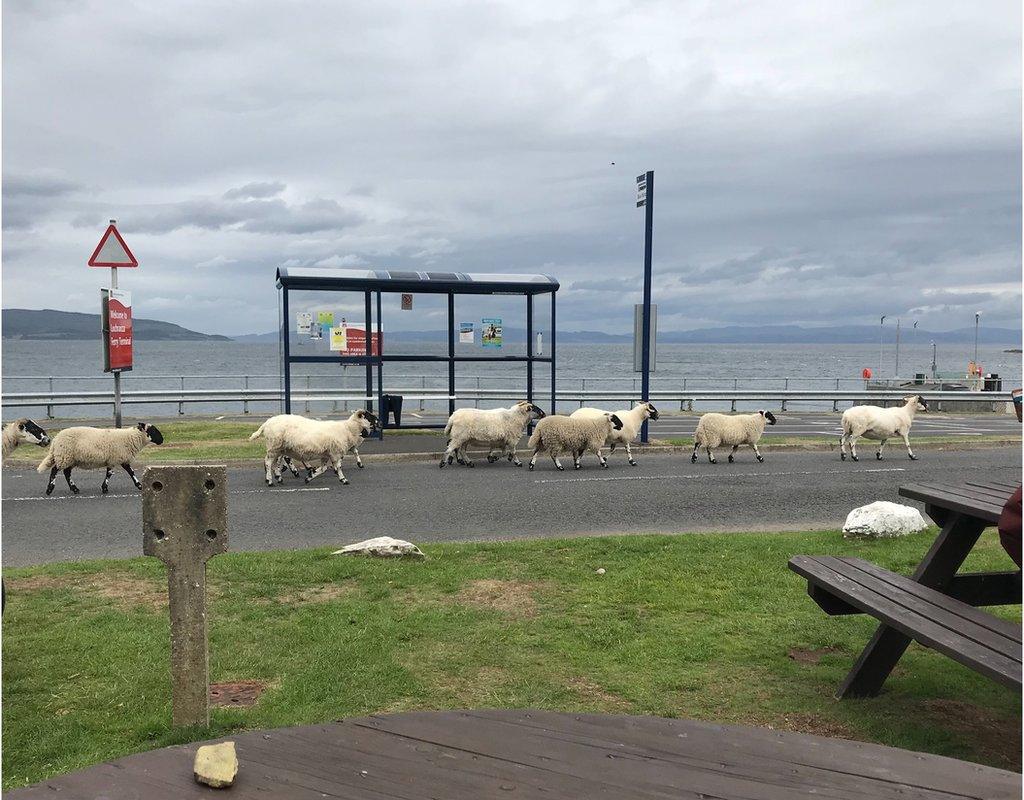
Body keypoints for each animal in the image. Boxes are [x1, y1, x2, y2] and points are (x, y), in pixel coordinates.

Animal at [246, 409, 376, 483]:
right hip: (275, 447)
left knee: (273, 462)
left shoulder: (327, 454)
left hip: (278, 448)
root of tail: (266, 423)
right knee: (269, 463)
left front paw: (309, 477)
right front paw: (343, 479)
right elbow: (338, 466)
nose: (379, 422)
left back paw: (278, 476)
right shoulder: (335, 452)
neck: (348, 429)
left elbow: (323, 469)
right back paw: (270, 480)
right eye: (369, 417)